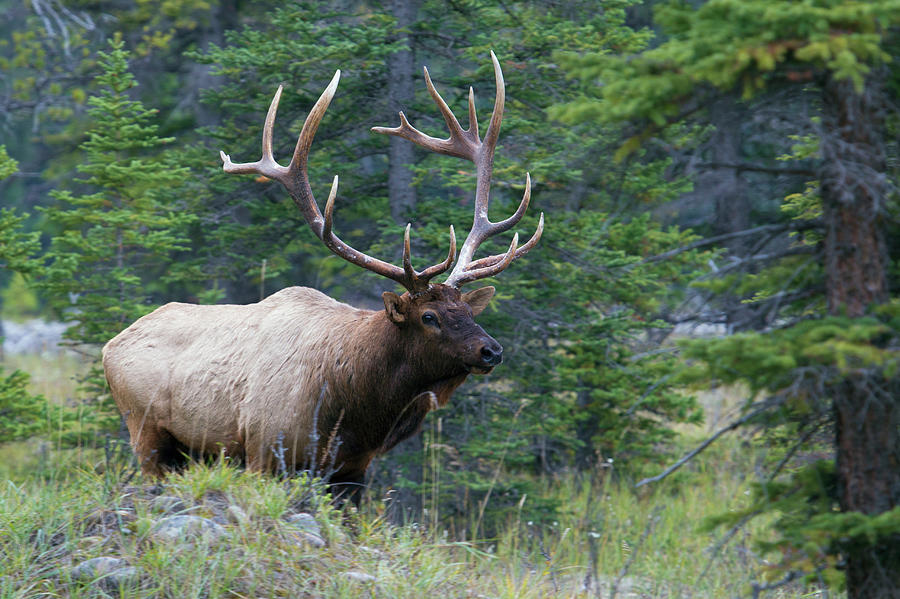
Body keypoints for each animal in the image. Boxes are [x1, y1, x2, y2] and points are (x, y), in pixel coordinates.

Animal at [103, 51, 540, 504]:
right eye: (429, 317)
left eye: (468, 312)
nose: (491, 350)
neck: (355, 409)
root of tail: (112, 344)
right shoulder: (264, 448)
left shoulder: (352, 470)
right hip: (147, 433)